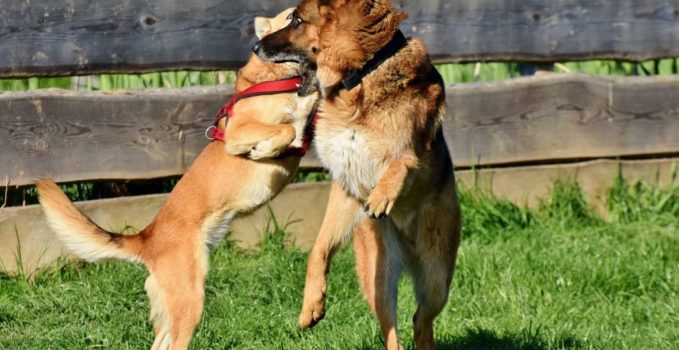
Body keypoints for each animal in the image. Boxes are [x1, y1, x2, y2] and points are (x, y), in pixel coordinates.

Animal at [34, 8, 316, 350]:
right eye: (291, 17)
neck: (276, 78)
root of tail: (147, 239)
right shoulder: (240, 133)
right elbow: (284, 129)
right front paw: (265, 148)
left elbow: (302, 117)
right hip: (189, 301)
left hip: (171, 308)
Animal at [255, 0, 462, 350]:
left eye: (296, 20)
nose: (255, 47)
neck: (362, 75)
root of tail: (409, 249)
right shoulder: (346, 186)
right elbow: (318, 249)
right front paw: (311, 305)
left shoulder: (414, 156)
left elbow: (400, 163)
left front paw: (382, 195)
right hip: (377, 276)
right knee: (393, 328)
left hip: (437, 276)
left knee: (422, 319)